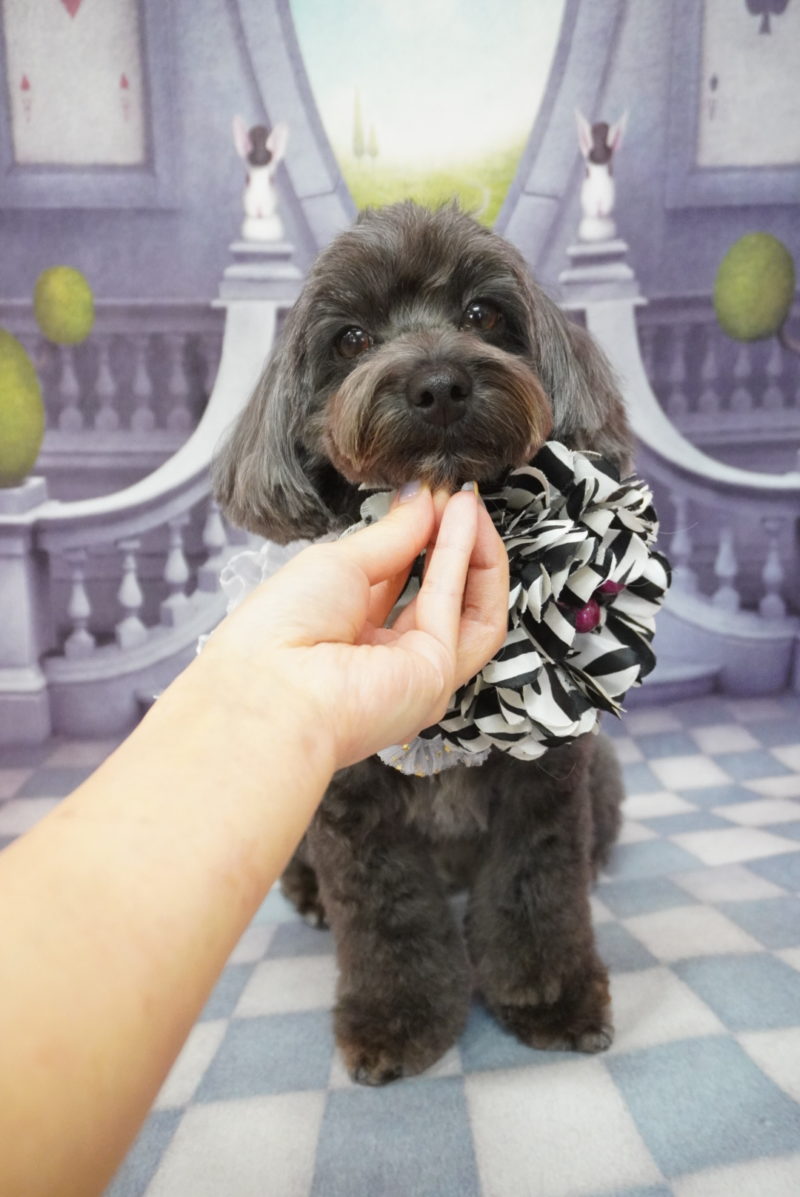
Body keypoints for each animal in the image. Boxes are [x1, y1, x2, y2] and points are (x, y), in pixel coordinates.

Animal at [213, 201, 632, 1085]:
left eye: (484, 314)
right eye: (350, 338)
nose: (438, 385)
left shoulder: (543, 785)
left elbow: (537, 889)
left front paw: (551, 998)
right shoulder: (352, 807)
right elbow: (389, 914)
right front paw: (397, 1020)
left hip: (601, 774)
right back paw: (308, 896)